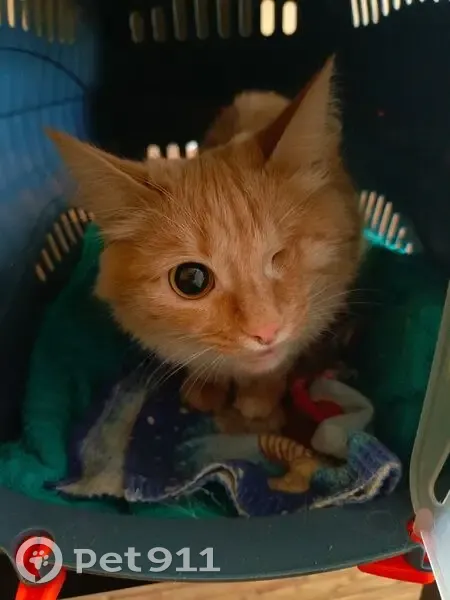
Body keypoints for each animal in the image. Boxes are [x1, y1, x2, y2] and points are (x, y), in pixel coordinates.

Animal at [48, 58, 363, 432]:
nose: (266, 331)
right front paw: (207, 383)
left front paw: (260, 396)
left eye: (281, 256)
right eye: (191, 280)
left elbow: (281, 362)